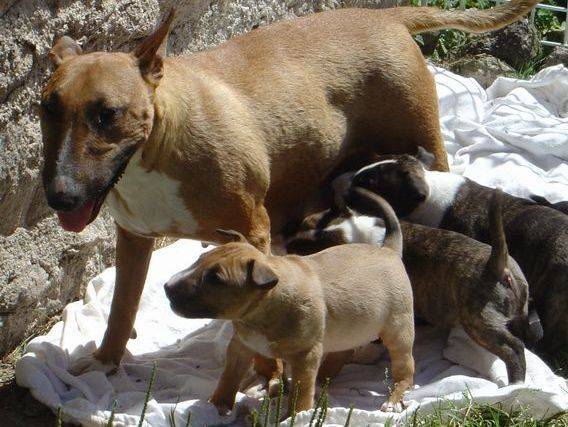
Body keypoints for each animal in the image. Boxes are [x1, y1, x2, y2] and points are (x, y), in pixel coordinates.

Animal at [162, 211, 414, 414]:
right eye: (200, 259)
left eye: (216, 279)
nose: (167, 287)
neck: (261, 312)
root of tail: (389, 251)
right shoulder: (240, 346)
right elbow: (228, 378)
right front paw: (217, 405)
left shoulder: (306, 355)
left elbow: (301, 393)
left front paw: (295, 416)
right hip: (352, 328)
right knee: (342, 352)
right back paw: (322, 381)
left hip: (398, 329)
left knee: (405, 370)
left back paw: (394, 399)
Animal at [288, 187, 532, 384]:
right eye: (304, 224)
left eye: (308, 249)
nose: (287, 244)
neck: (356, 234)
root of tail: (497, 265)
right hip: (517, 313)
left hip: (478, 322)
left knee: (513, 348)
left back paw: (516, 384)